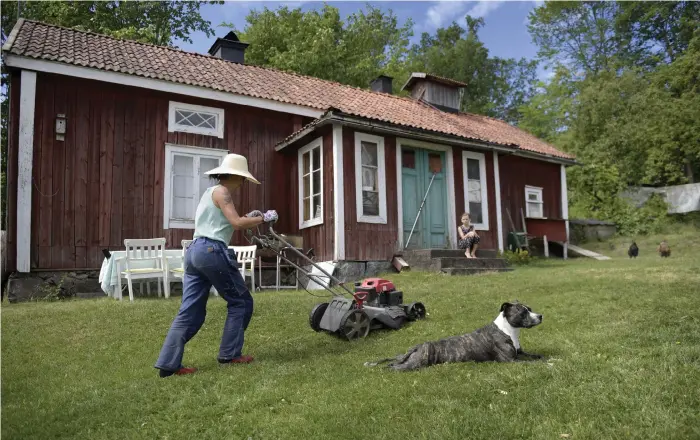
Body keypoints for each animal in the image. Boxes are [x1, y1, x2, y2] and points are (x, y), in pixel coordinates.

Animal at [364, 300, 544, 370]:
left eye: (530, 308)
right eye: (522, 312)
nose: (540, 316)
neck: (508, 329)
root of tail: (417, 347)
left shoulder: (520, 353)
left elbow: (536, 356)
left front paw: (546, 358)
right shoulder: (511, 361)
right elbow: (534, 363)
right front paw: (548, 364)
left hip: (405, 357)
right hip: (414, 364)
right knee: (394, 367)